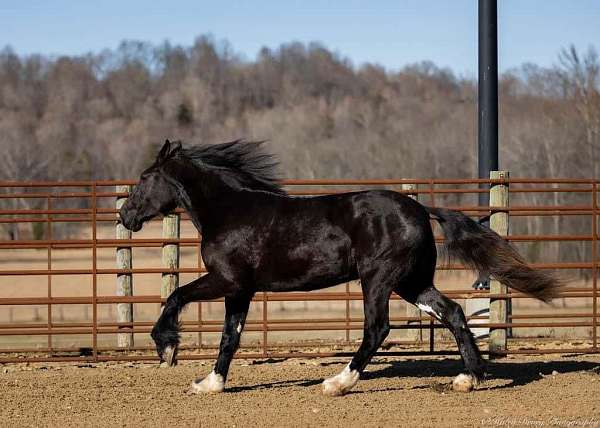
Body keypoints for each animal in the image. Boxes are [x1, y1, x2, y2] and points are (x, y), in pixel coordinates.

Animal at [119, 140, 560, 394]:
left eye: (144, 178)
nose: (125, 216)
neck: (229, 212)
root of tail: (421, 210)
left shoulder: (226, 279)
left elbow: (176, 296)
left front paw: (166, 346)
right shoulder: (240, 289)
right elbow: (231, 336)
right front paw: (209, 384)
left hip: (378, 279)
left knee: (377, 327)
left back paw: (337, 383)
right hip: (412, 283)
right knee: (451, 312)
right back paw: (468, 378)